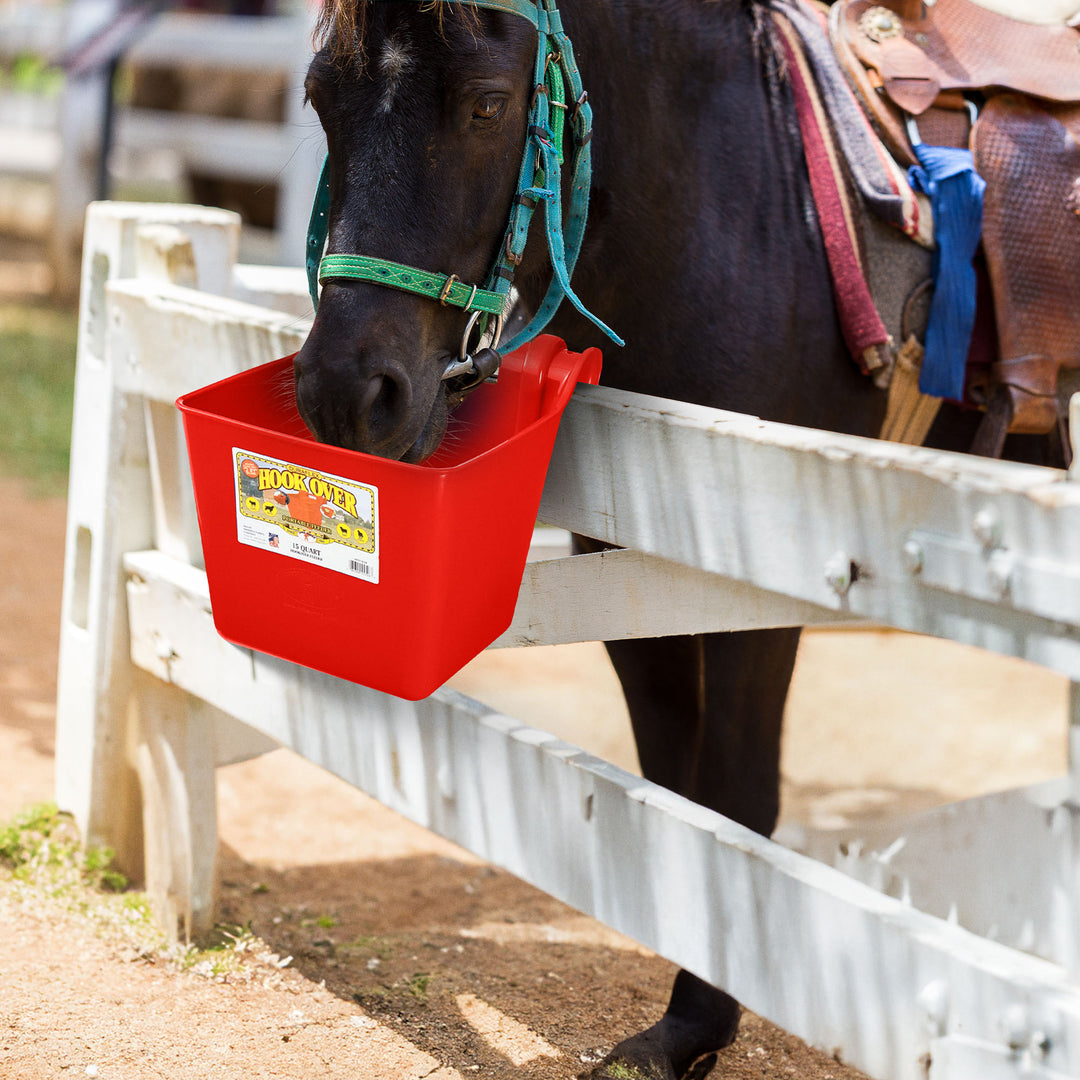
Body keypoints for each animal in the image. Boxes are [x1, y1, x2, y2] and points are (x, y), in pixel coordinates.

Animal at [289, 2, 993, 1080]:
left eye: (487, 104)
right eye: (321, 97)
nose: (345, 395)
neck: (739, 207)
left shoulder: (759, 576)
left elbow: (734, 798)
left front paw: (699, 1021)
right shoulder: (620, 555)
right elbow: (673, 781)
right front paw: (680, 1020)